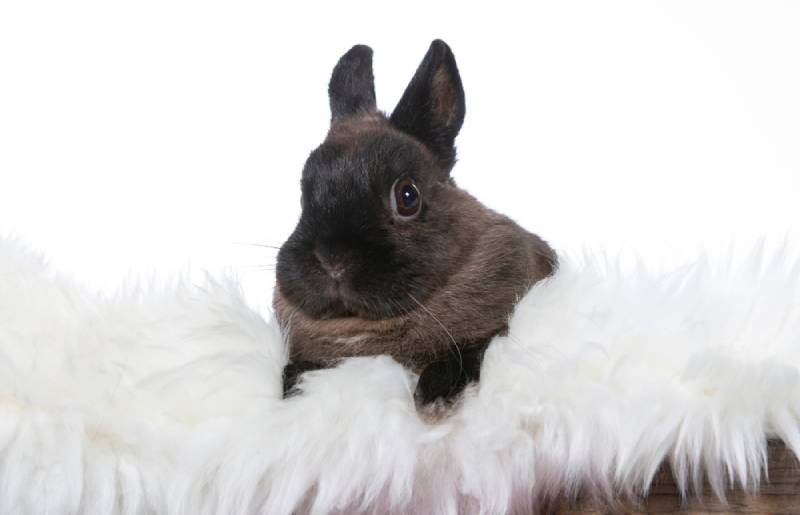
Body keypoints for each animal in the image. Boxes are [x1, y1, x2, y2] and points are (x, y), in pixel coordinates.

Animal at [274, 40, 556, 411]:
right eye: (304, 194)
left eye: (408, 196)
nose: (332, 259)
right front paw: (292, 387)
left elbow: (471, 348)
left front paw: (436, 396)